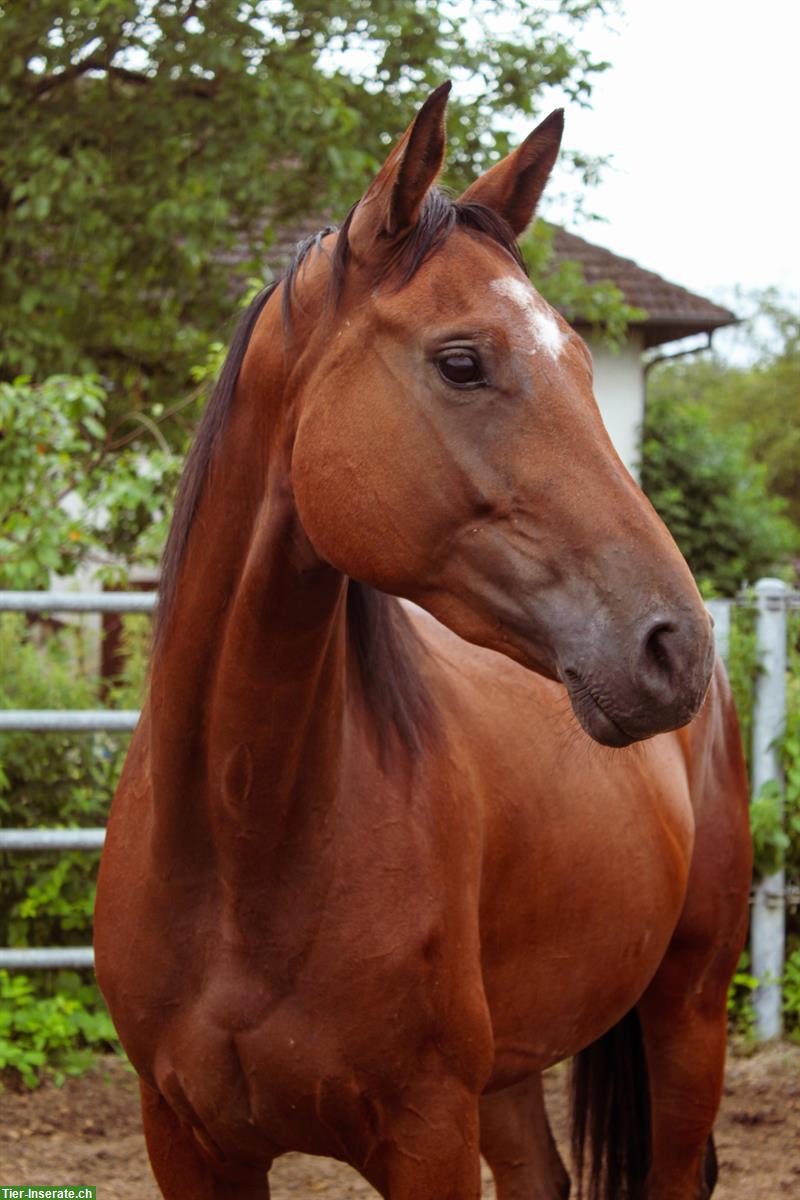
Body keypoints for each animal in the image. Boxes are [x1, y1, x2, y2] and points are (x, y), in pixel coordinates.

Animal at [94, 87, 753, 1200]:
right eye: (461, 361)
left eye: (586, 363)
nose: (677, 647)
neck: (239, 848)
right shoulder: (183, 1138)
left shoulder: (427, 1134)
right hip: (513, 1071)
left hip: (687, 1013)